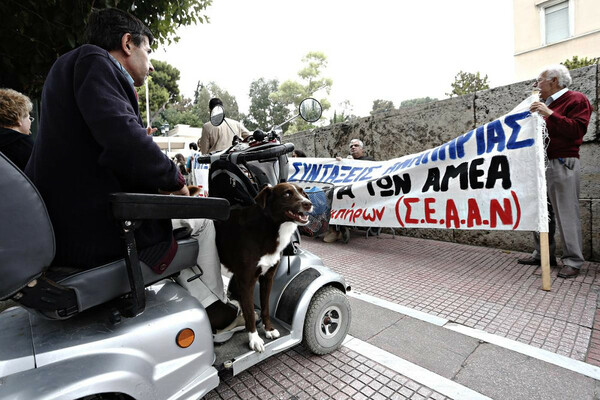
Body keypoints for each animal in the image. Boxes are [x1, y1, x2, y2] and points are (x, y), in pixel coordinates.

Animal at [213, 183, 312, 352]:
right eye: (287, 194)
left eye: (303, 192)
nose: (309, 203)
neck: (269, 227)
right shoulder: (247, 281)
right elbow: (250, 313)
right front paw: (254, 338)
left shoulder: (267, 278)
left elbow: (265, 307)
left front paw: (269, 329)